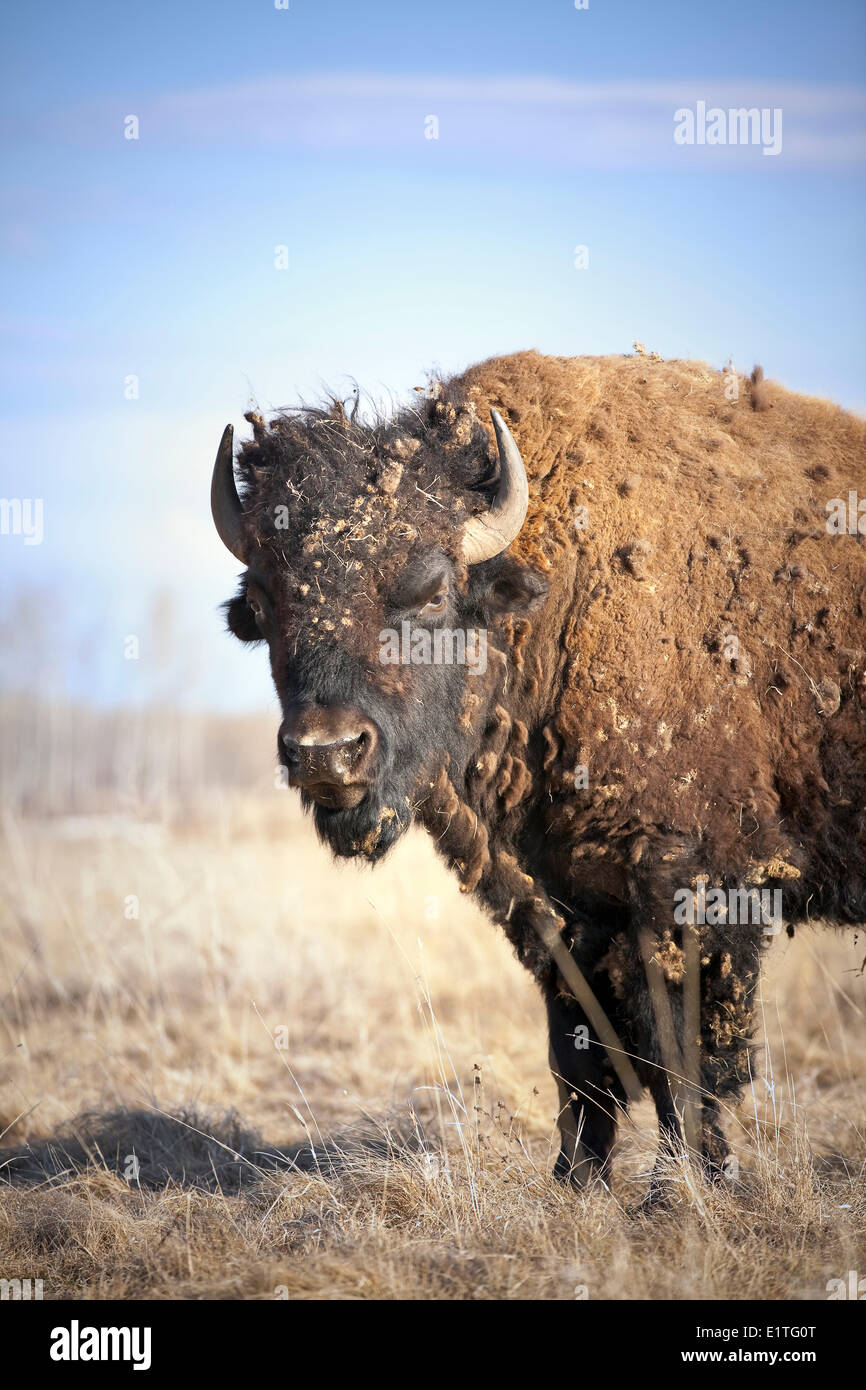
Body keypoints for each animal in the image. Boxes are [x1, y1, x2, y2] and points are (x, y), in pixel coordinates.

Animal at [209, 353, 866, 1200]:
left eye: (431, 592)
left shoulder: (696, 886)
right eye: (262, 605)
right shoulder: (555, 903)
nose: (326, 752)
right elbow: (580, 1057)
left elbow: (686, 1051)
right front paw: (574, 1182)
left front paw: (680, 1191)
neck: (558, 595)